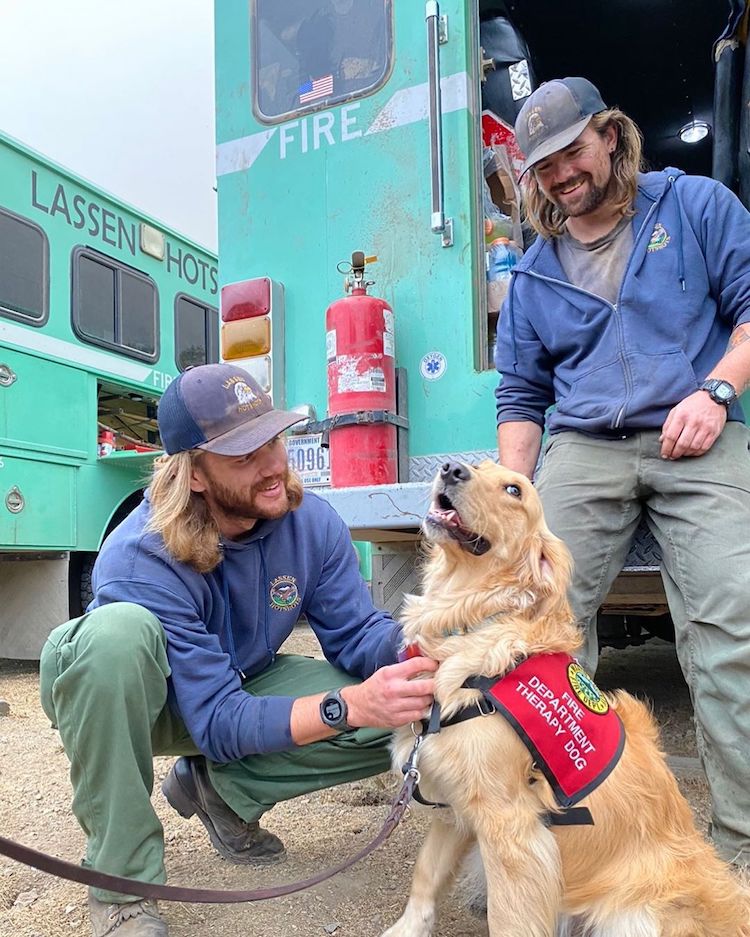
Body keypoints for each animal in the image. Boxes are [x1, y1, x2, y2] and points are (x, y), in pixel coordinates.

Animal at [384, 458, 748, 936]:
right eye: (478, 465)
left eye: (514, 490)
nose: (451, 468)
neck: (470, 620)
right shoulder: (454, 798)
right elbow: (425, 876)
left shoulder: (511, 827)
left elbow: (509, 920)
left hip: (636, 914)